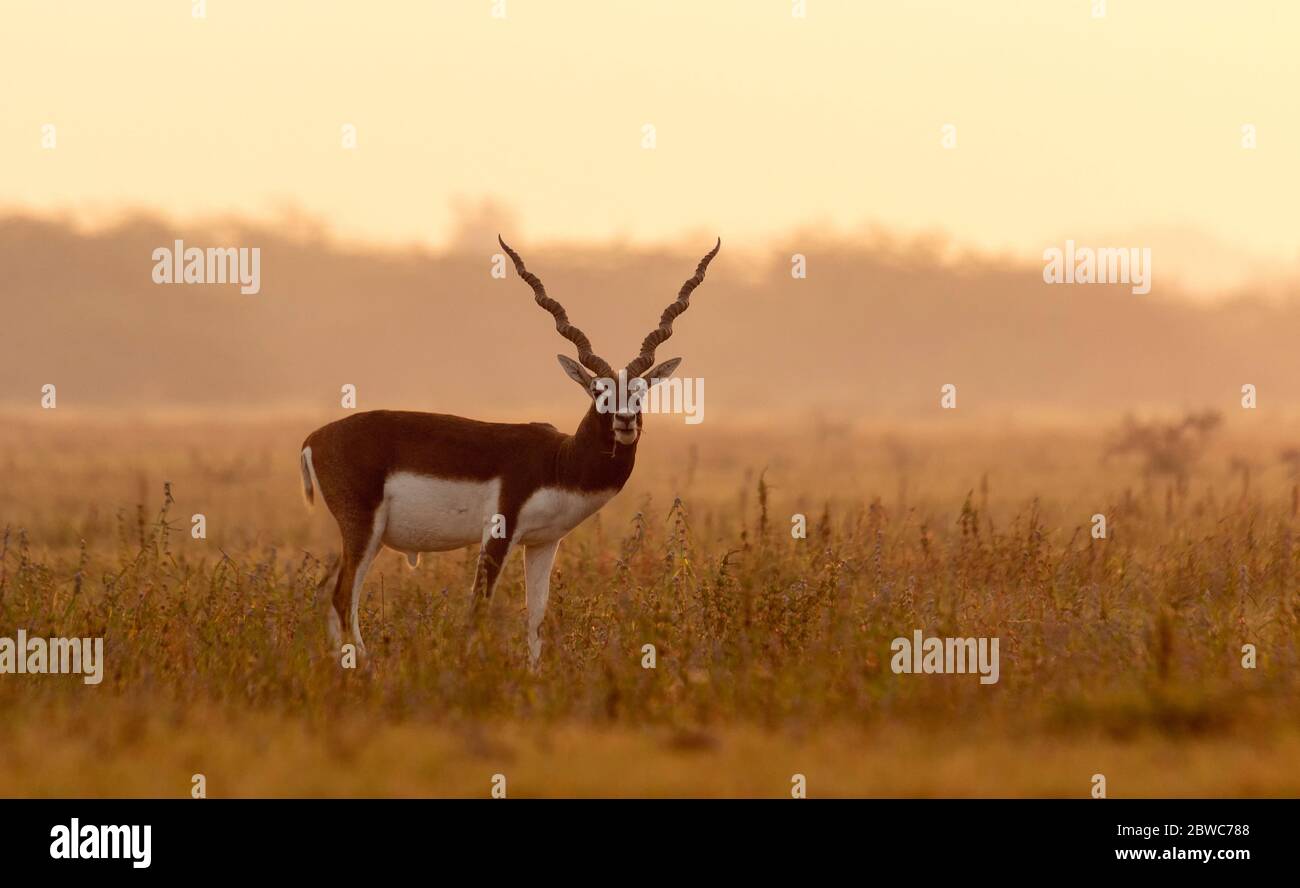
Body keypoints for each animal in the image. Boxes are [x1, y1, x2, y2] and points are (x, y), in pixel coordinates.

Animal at [300, 236, 722, 665]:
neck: (559, 463)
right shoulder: (498, 532)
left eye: (640, 391)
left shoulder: (543, 543)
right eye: (597, 390)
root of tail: (314, 439)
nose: (624, 421)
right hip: (364, 528)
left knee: (325, 592)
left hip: (354, 535)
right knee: (342, 597)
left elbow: (535, 617)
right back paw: (367, 666)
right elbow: (477, 608)